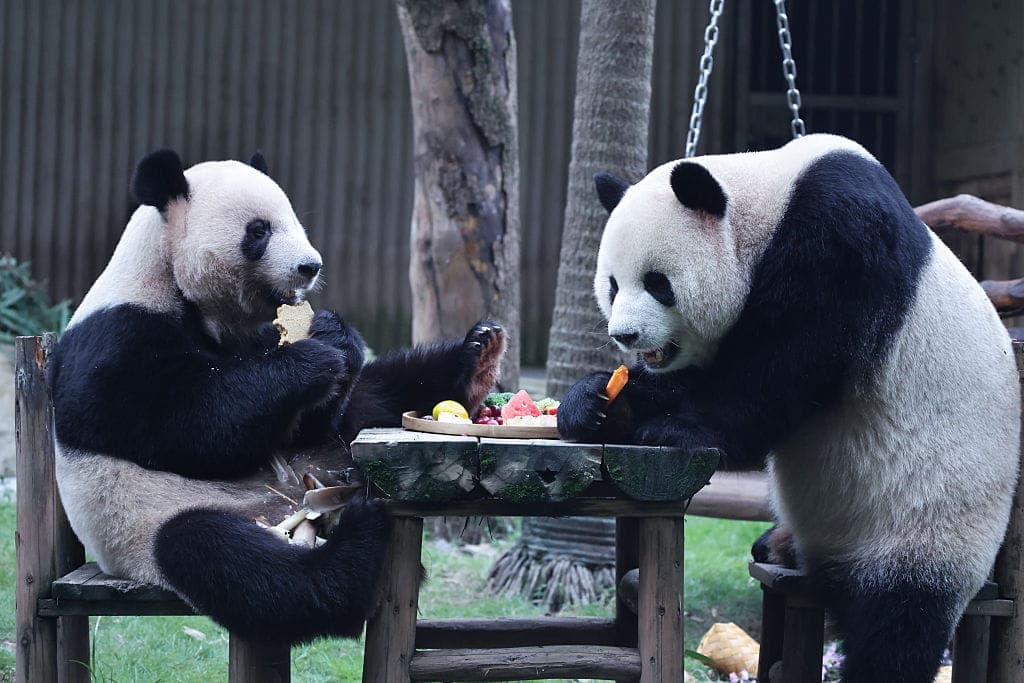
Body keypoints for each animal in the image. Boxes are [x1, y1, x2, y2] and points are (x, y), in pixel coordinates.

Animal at [49, 149, 505, 644]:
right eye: (259, 230)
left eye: (294, 220)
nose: (310, 267)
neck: (171, 277)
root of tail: (300, 503)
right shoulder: (117, 339)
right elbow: (185, 428)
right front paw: (312, 360)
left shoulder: (257, 335)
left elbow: (299, 422)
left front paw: (337, 336)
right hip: (150, 519)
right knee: (237, 564)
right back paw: (354, 545)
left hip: (329, 452)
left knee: (373, 397)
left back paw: (475, 359)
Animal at [557, 133, 1020, 682]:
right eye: (612, 285)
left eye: (657, 283)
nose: (625, 335)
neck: (769, 202)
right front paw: (595, 404)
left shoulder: (842, 240)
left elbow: (785, 365)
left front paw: (675, 431)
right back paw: (778, 546)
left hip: (931, 516)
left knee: (899, 624)